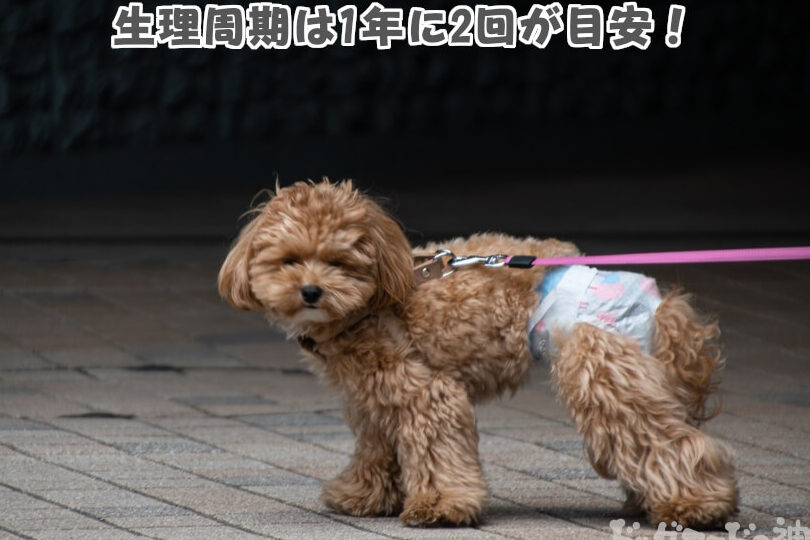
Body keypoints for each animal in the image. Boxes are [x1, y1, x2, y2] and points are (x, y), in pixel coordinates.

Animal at [218, 179, 738, 528]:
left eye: (339, 262)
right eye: (289, 260)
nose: (311, 291)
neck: (373, 302)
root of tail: (659, 301)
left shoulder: (426, 390)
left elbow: (434, 449)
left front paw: (441, 506)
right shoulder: (373, 398)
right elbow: (376, 449)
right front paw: (363, 495)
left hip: (600, 367)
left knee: (664, 440)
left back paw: (696, 505)